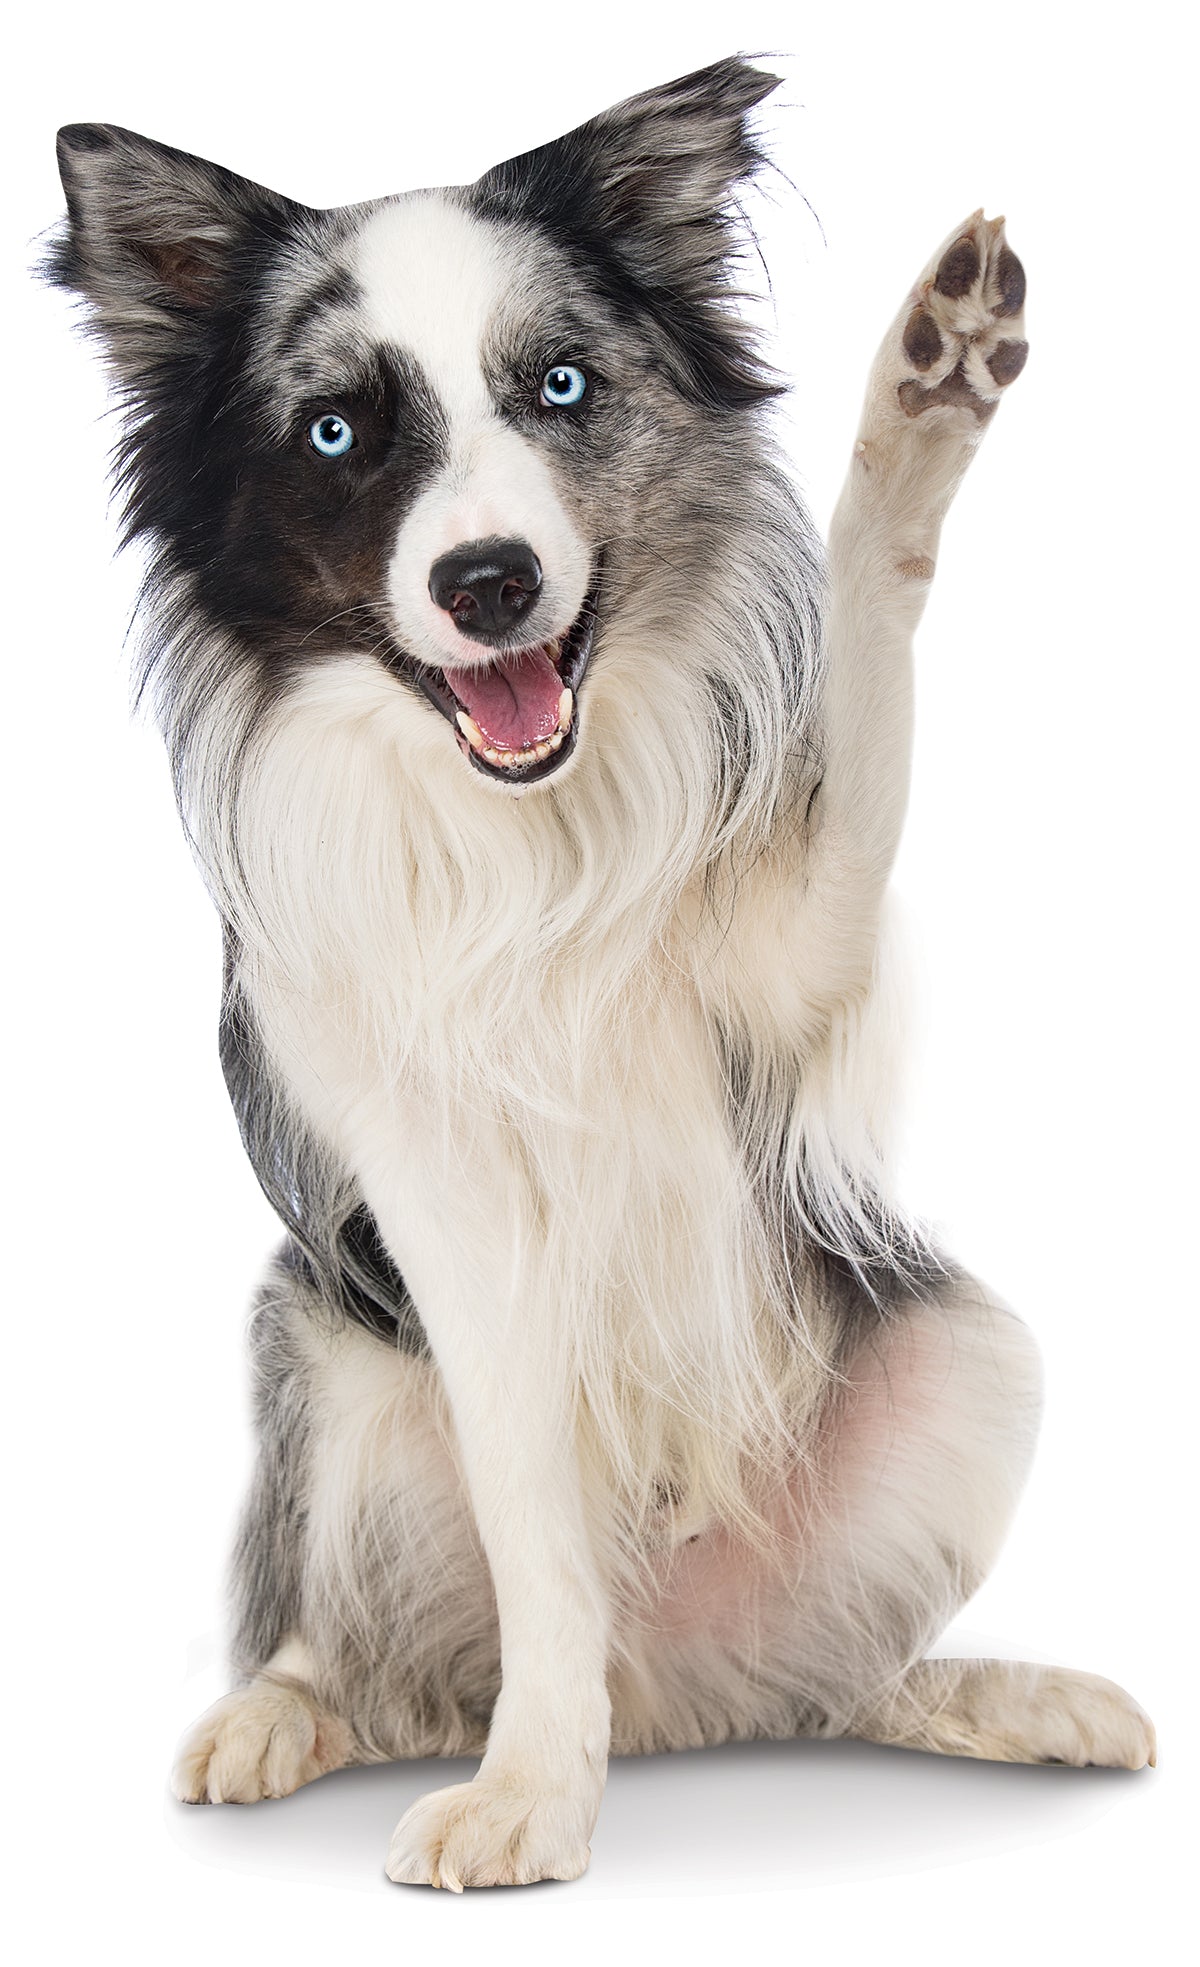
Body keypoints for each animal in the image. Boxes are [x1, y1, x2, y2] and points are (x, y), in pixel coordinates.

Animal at [49, 53, 1148, 1880]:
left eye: (559, 386)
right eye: (337, 433)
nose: (489, 583)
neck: (529, 826)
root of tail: (679, 1692)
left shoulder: (794, 956)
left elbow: (865, 667)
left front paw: (931, 389)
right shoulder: (434, 1193)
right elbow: (531, 1520)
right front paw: (530, 1793)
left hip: (974, 1348)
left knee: (842, 1677)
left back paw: (1019, 1696)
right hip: (318, 1352)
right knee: (369, 1663)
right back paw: (280, 1718)